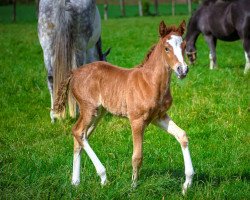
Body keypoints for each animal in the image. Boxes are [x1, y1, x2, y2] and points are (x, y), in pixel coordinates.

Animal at [53, 21, 195, 195]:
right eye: (167, 48)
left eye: (184, 45)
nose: (183, 70)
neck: (150, 82)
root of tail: (74, 72)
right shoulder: (137, 120)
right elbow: (137, 156)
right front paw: (133, 187)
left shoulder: (159, 117)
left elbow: (182, 135)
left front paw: (187, 184)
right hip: (89, 109)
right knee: (78, 131)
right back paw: (103, 177)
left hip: (99, 113)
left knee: (81, 136)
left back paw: (76, 182)